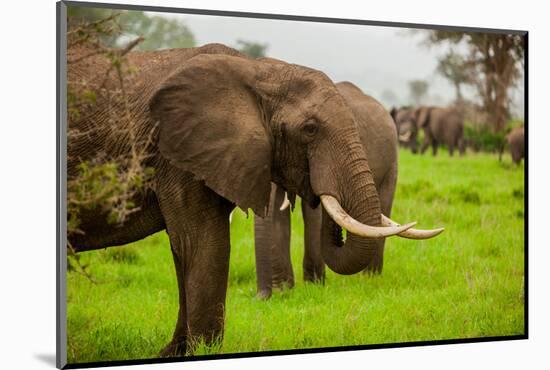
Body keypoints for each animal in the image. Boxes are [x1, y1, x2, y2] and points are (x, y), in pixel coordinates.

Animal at [256, 82, 446, 300]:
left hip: (392, 161)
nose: (262, 297)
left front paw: (314, 285)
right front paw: (284, 289)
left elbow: (312, 213)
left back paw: (370, 277)